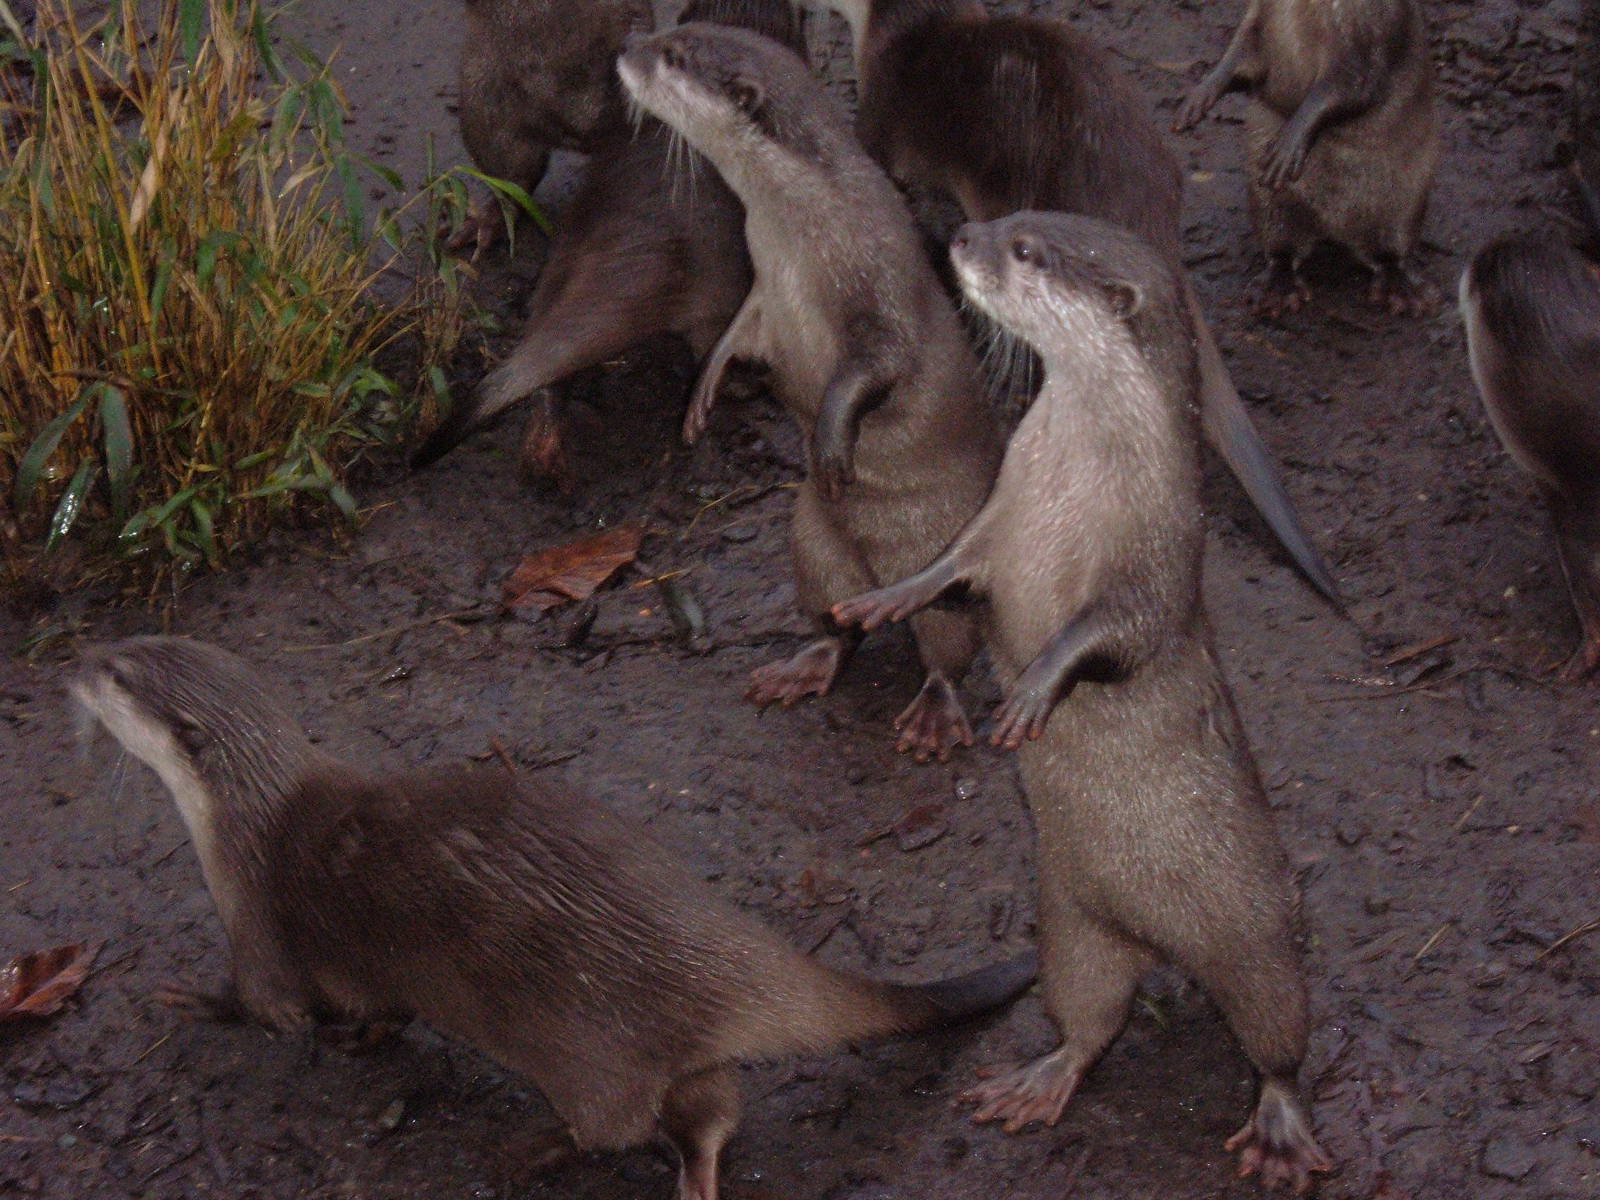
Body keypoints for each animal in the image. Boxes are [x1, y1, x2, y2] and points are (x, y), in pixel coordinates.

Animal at [71, 636, 1036, 1200]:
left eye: (116, 676)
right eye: (126, 641)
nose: (69, 661)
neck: (248, 818)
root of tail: (715, 948)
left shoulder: (259, 923)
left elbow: (268, 1006)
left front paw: (191, 1001)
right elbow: (378, 1008)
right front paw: (367, 1037)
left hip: (583, 1047)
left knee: (621, 1124)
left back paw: (537, 1153)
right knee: (715, 1106)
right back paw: (695, 1175)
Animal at [618, 21, 1006, 760]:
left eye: (674, 55)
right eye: (672, 29)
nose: (626, 51)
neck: (803, 227)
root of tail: (880, 581)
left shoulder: (879, 287)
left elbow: (875, 365)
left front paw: (829, 442)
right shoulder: (765, 290)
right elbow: (734, 336)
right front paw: (702, 395)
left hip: (935, 566)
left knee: (948, 651)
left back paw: (933, 715)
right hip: (812, 547)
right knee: (839, 623)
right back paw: (807, 664)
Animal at [832, 212, 1330, 1193]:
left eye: (1025, 249)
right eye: (1007, 219)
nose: (963, 236)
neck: (1072, 483)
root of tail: (1157, 941)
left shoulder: (1157, 552)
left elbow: (1115, 630)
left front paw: (1032, 688)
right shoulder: (999, 515)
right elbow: (950, 567)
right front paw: (887, 598)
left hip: (1254, 930)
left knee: (1278, 1031)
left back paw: (1281, 1126)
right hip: (1073, 925)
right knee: (1090, 1016)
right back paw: (1041, 1078)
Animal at [1174, 0, 1440, 317]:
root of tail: (1333, 227)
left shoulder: (1368, 30)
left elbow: (1349, 86)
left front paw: (1288, 144)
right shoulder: (1257, 16)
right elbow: (1242, 52)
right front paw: (1199, 96)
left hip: (1406, 199)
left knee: (1392, 248)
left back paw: (1401, 287)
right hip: (1268, 200)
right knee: (1281, 245)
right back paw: (1278, 288)